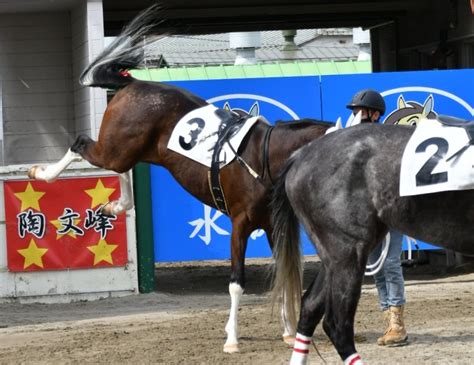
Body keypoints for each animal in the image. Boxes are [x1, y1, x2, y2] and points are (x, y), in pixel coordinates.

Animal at [27, 4, 332, 352]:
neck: (261, 158)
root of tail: (133, 83)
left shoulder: (272, 226)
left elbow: (284, 273)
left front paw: (287, 329)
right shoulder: (240, 224)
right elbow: (237, 283)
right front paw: (232, 338)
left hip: (131, 150)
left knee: (121, 167)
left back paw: (114, 206)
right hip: (113, 148)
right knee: (80, 145)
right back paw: (43, 173)